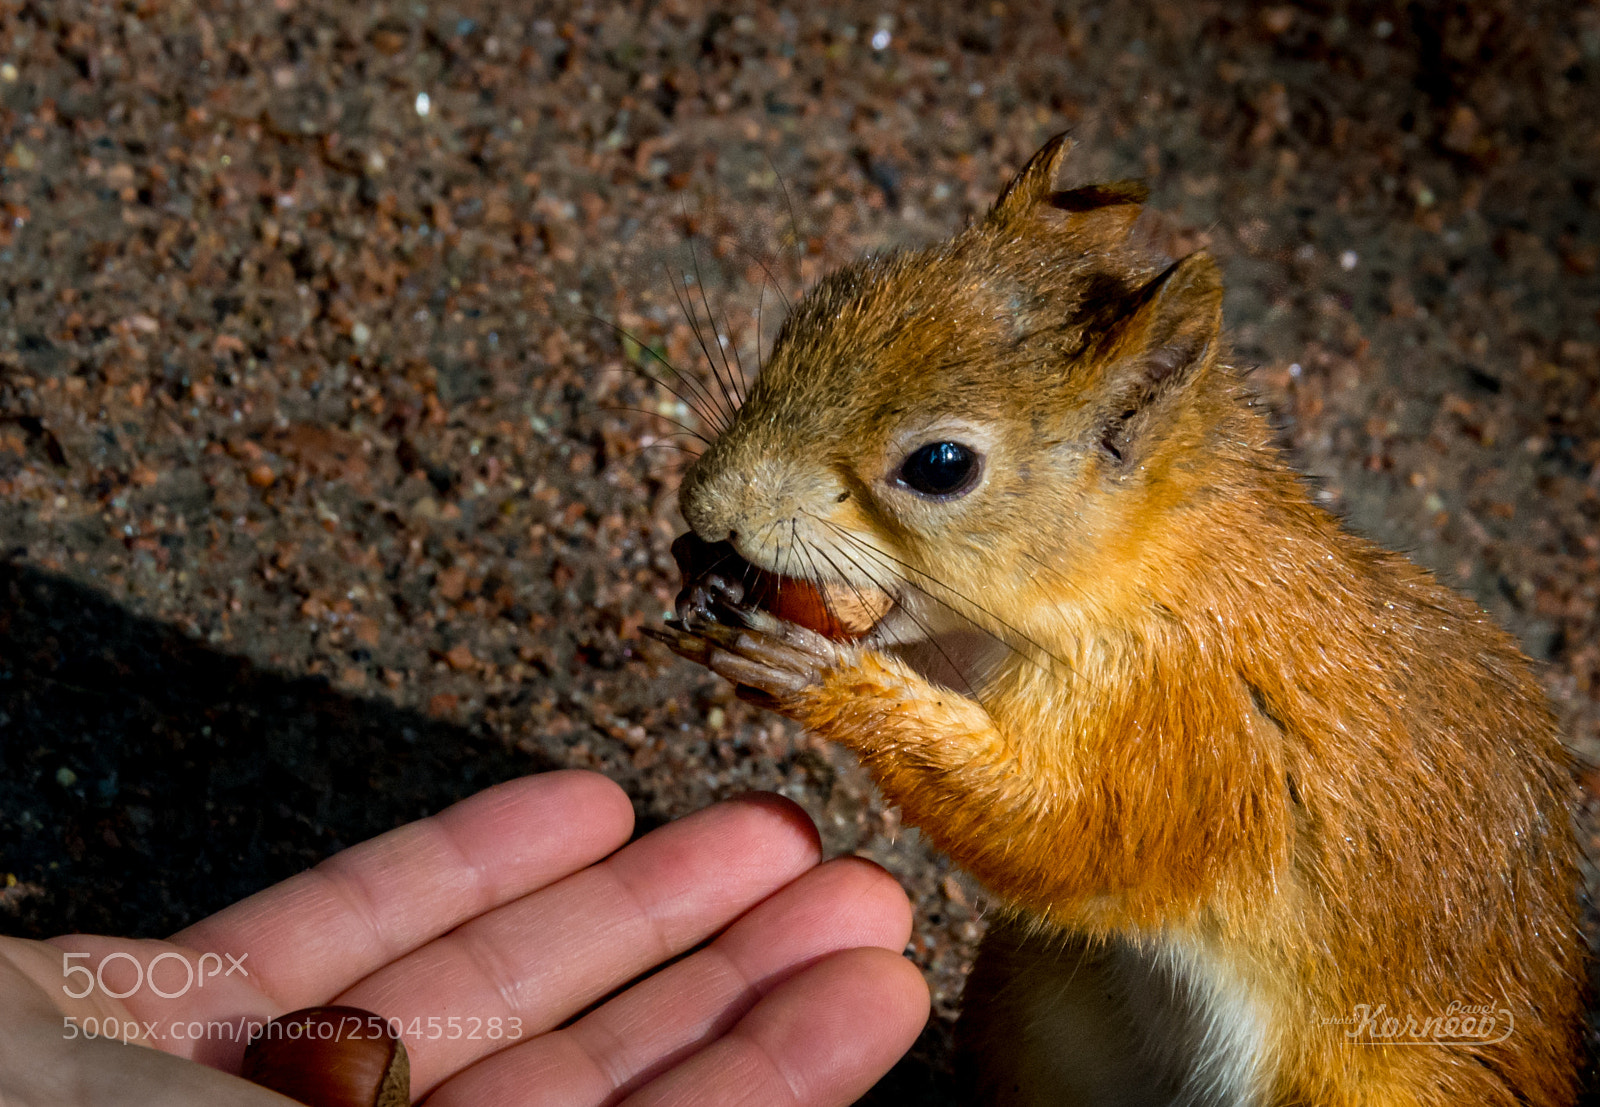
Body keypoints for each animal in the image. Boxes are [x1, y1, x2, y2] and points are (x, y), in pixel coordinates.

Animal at [647, 135, 1584, 1106]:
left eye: (941, 465)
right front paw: (703, 575)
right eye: (824, 301)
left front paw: (824, 680)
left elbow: (1069, 834)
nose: (707, 504)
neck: (1146, 569)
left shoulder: (1192, 724)